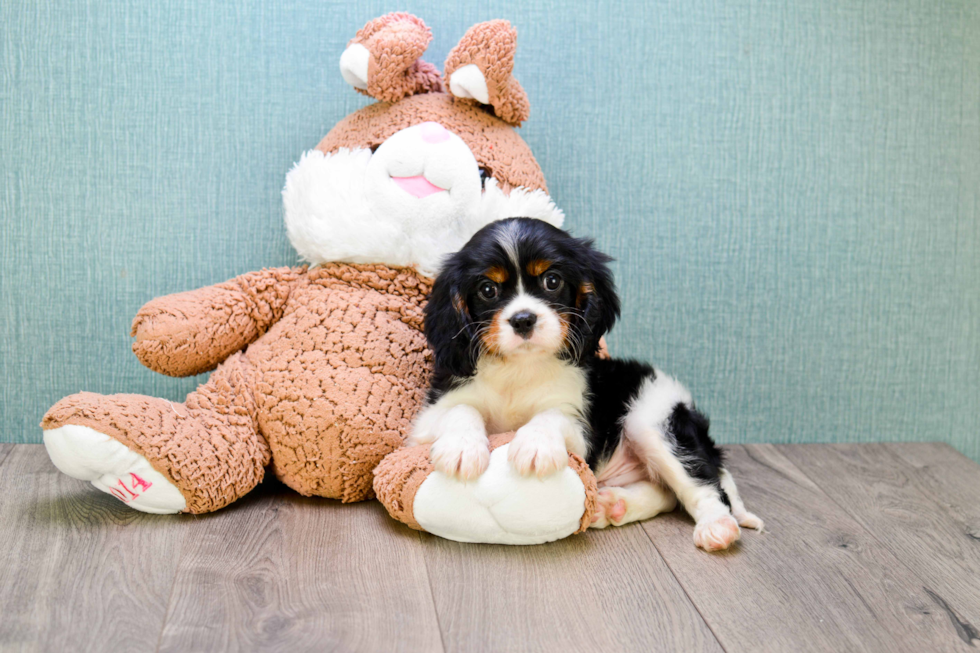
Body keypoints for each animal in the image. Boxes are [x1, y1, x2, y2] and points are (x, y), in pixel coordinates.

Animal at [410, 218, 760, 552]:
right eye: (487, 290)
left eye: (552, 281)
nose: (523, 319)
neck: (520, 367)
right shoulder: (426, 420)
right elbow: (461, 408)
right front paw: (461, 448)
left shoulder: (580, 432)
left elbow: (552, 416)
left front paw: (535, 444)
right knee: (668, 493)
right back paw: (614, 504)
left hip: (652, 419)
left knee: (705, 484)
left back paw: (718, 526)